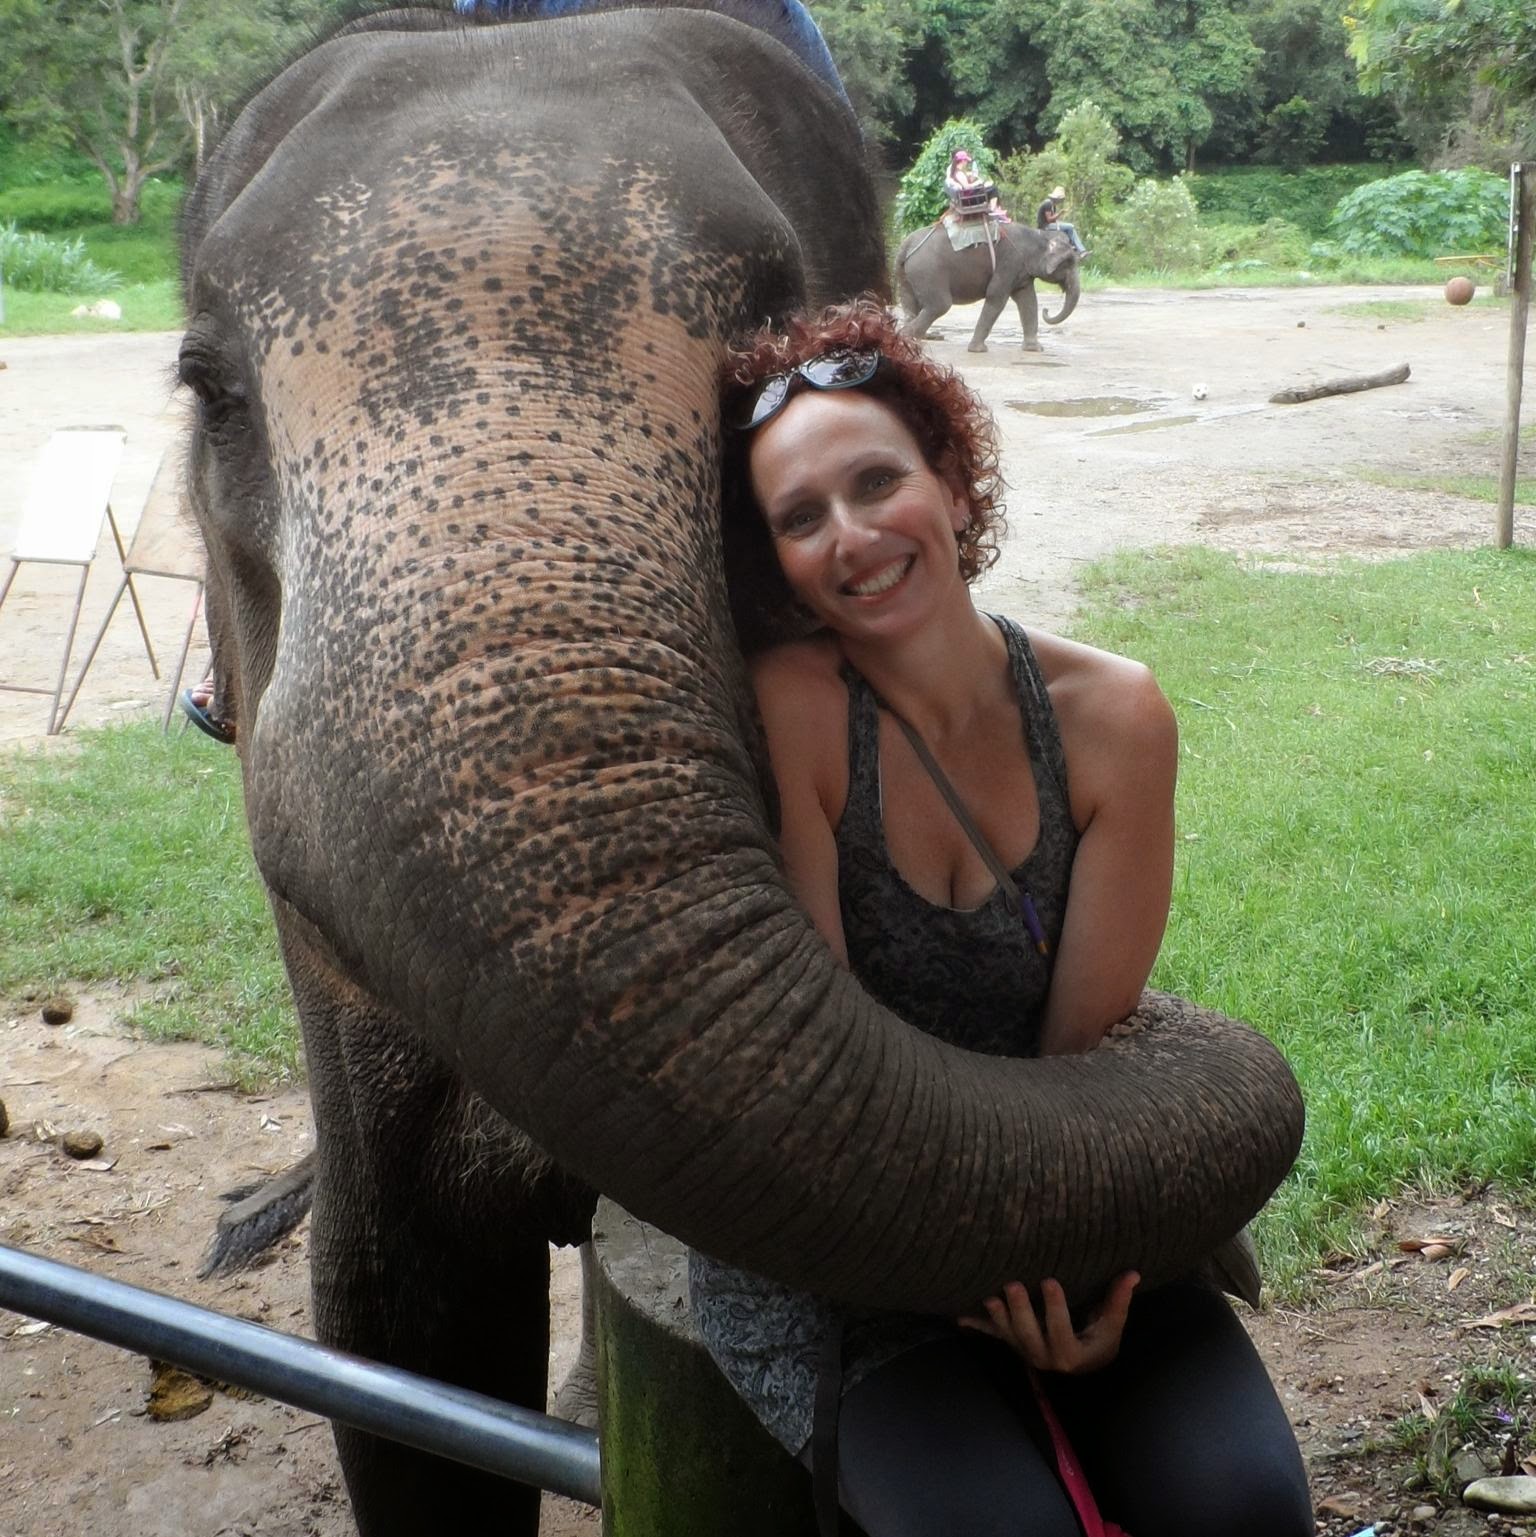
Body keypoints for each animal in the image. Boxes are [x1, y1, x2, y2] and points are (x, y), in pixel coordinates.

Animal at [896, 219, 1081, 352]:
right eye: (1069, 263)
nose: (1046, 310)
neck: (1040, 235)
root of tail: (906, 244)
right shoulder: (1008, 263)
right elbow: (996, 297)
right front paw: (978, 350)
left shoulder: (1021, 271)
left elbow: (1028, 301)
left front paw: (1035, 349)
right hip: (928, 270)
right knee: (939, 305)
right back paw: (906, 338)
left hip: (907, 275)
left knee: (912, 305)